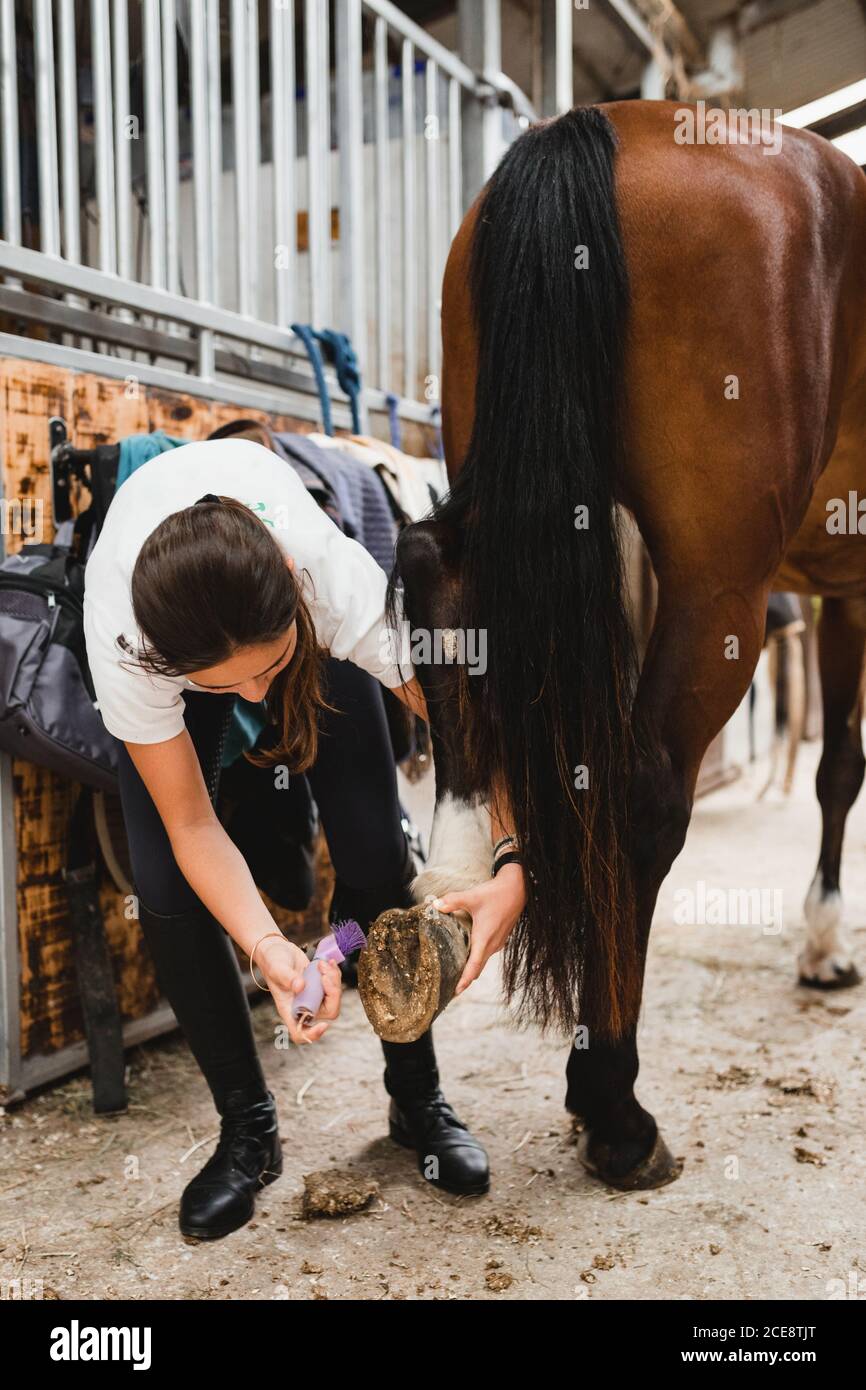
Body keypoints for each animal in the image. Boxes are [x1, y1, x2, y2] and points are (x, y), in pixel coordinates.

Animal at [393, 100, 866, 1191]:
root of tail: (596, 124)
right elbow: (843, 767)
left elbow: (834, 770)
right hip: (718, 586)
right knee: (644, 794)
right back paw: (613, 1106)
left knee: (439, 575)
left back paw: (455, 867)